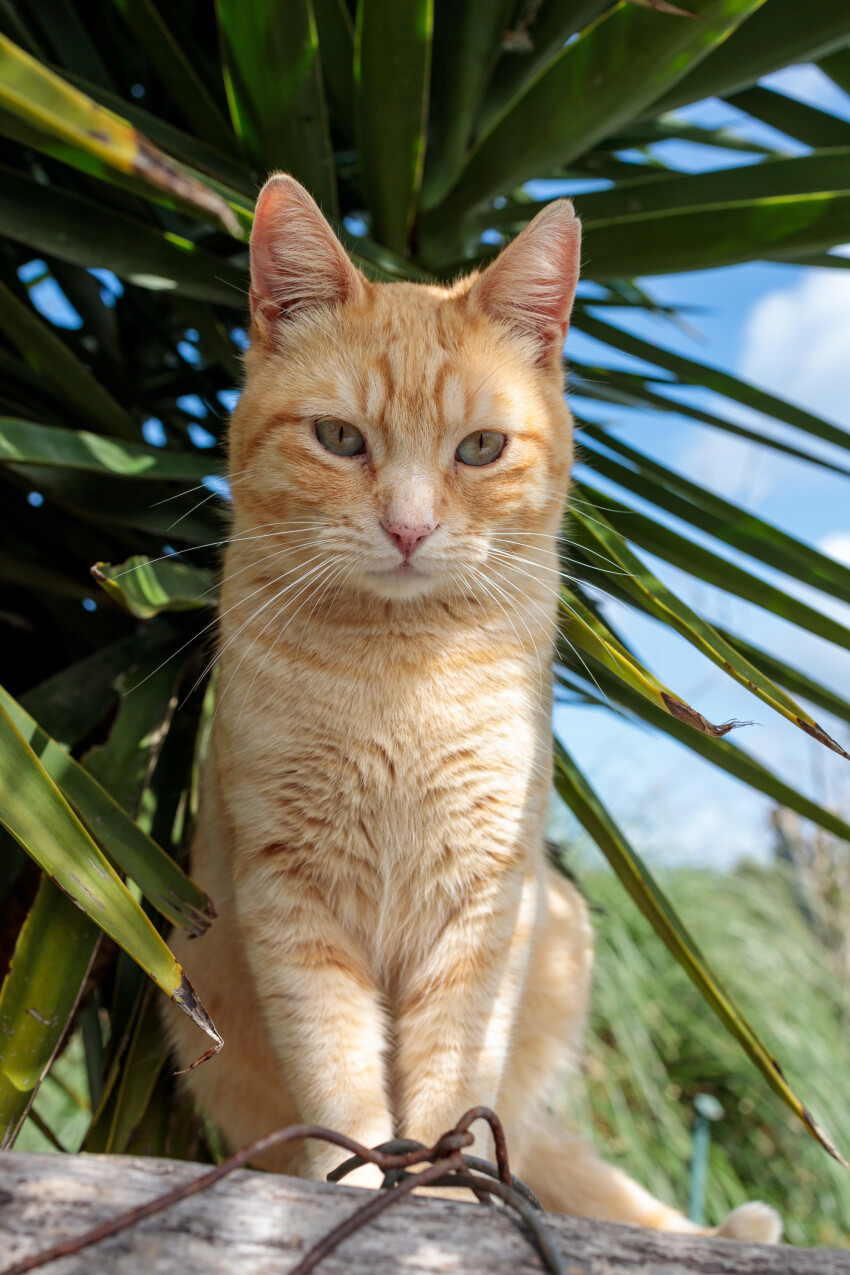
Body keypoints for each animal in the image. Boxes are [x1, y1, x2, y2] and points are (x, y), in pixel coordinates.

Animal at [163, 174, 779, 1239]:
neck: (400, 670)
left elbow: (452, 1075)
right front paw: (359, 1188)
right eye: (339, 439)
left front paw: (444, 1198)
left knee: (516, 1127)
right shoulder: (290, 892)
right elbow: (341, 1072)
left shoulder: (486, 895)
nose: (409, 528)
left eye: (481, 448)